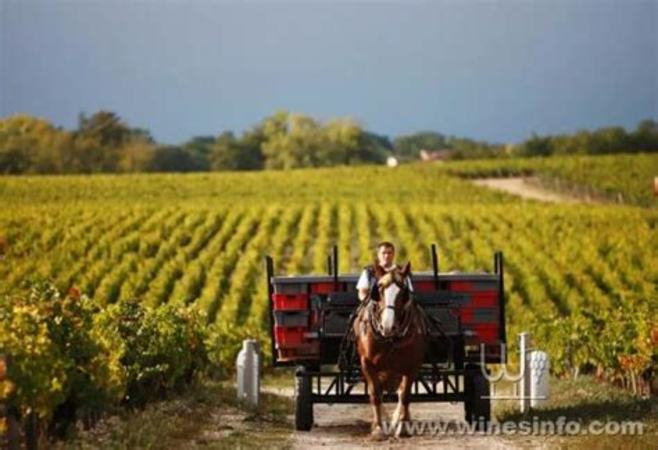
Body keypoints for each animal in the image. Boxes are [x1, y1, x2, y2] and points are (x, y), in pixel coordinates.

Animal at [354, 262, 426, 438]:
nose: (388, 326)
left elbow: (405, 396)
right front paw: (379, 428)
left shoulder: (412, 366)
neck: (390, 338)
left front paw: (403, 427)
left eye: (403, 291)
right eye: (379, 289)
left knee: (400, 394)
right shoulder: (367, 364)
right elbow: (375, 394)